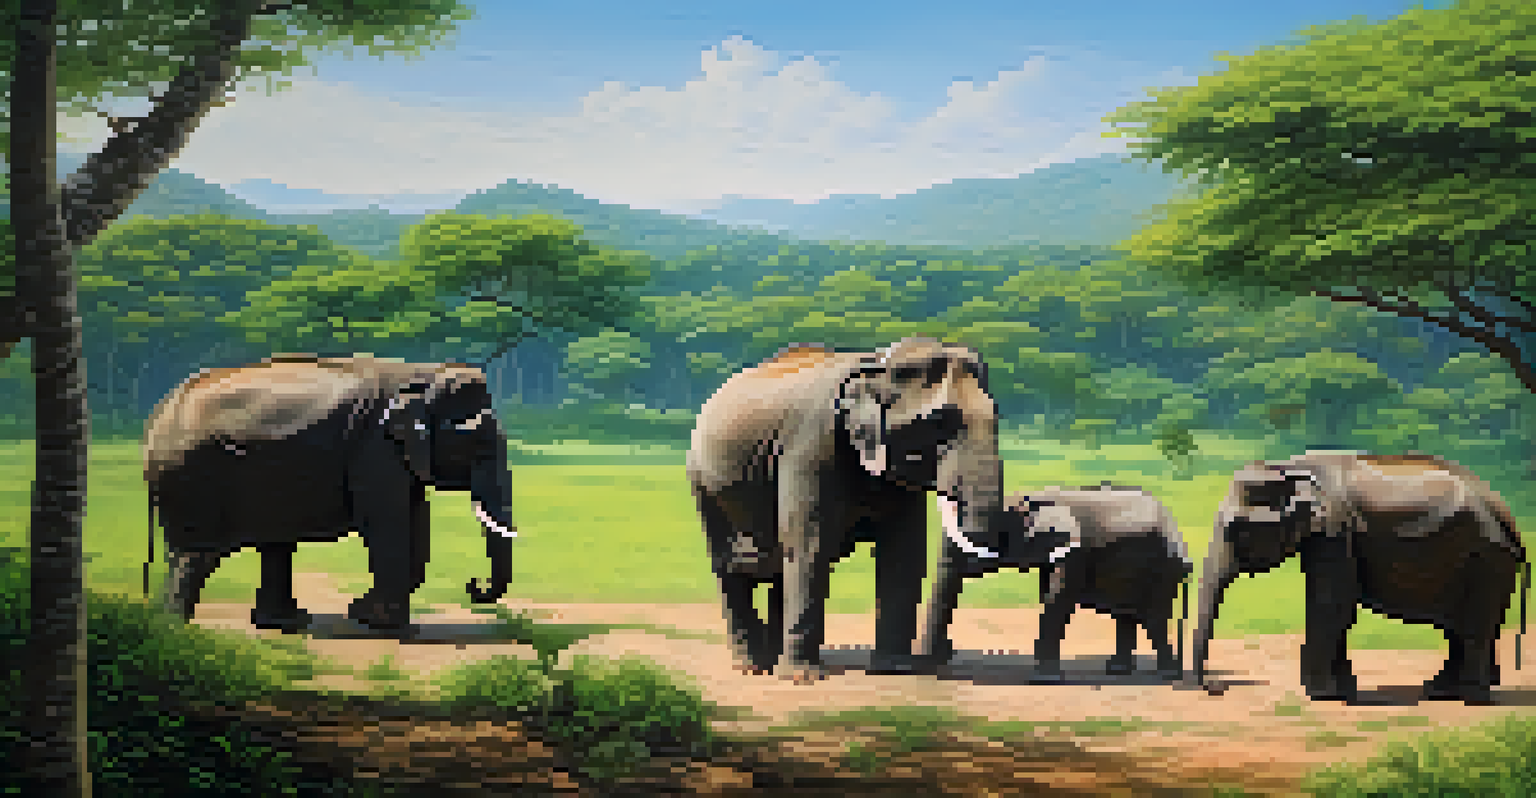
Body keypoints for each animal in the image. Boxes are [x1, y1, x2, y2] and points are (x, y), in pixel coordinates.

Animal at [143, 354, 517, 632]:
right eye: (479, 445)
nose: (474, 584)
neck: (423, 374)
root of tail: (158, 416)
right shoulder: (375, 448)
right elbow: (385, 522)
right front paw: (384, 625)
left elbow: (414, 518)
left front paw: (365, 615)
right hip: (194, 478)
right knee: (196, 557)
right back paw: (176, 632)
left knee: (273, 542)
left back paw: (284, 623)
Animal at [687, 337, 1005, 683]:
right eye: (937, 423)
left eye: (997, 420)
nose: (946, 652)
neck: (878, 363)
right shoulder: (811, 448)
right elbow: (811, 546)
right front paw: (805, 679)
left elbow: (903, 551)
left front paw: (894, 670)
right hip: (703, 484)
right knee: (731, 565)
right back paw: (754, 667)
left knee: (778, 567)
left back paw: (773, 662)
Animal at [921, 483, 1191, 682]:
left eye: (980, 532)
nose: (949, 650)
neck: (1030, 499)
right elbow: (1049, 596)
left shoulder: (1073, 552)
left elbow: (1058, 600)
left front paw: (1044, 679)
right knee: (1127, 614)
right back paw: (1118, 670)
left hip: (1163, 570)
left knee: (1154, 616)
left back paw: (1166, 675)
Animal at [1192, 451, 1529, 704]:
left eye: (1236, 528)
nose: (1216, 687)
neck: (1290, 467)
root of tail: (1507, 513)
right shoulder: (1329, 536)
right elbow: (1337, 607)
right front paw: (1342, 692)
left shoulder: (1335, 530)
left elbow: (1331, 604)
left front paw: (1319, 694)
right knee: (1464, 626)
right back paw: (1442, 691)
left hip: (1486, 558)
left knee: (1474, 626)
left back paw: (1471, 698)